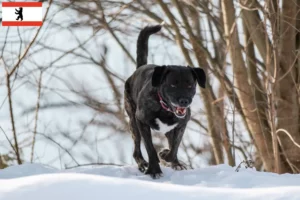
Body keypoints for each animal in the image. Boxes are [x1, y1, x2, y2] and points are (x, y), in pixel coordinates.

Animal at [125, 24, 206, 179]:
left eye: (190, 85)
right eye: (172, 85)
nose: (184, 101)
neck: (165, 109)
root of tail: (138, 70)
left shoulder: (181, 125)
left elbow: (174, 147)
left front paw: (166, 156)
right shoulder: (142, 121)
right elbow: (150, 148)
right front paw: (154, 169)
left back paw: (175, 162)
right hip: (133, 121)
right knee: (136, 149)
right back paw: (142, 163)